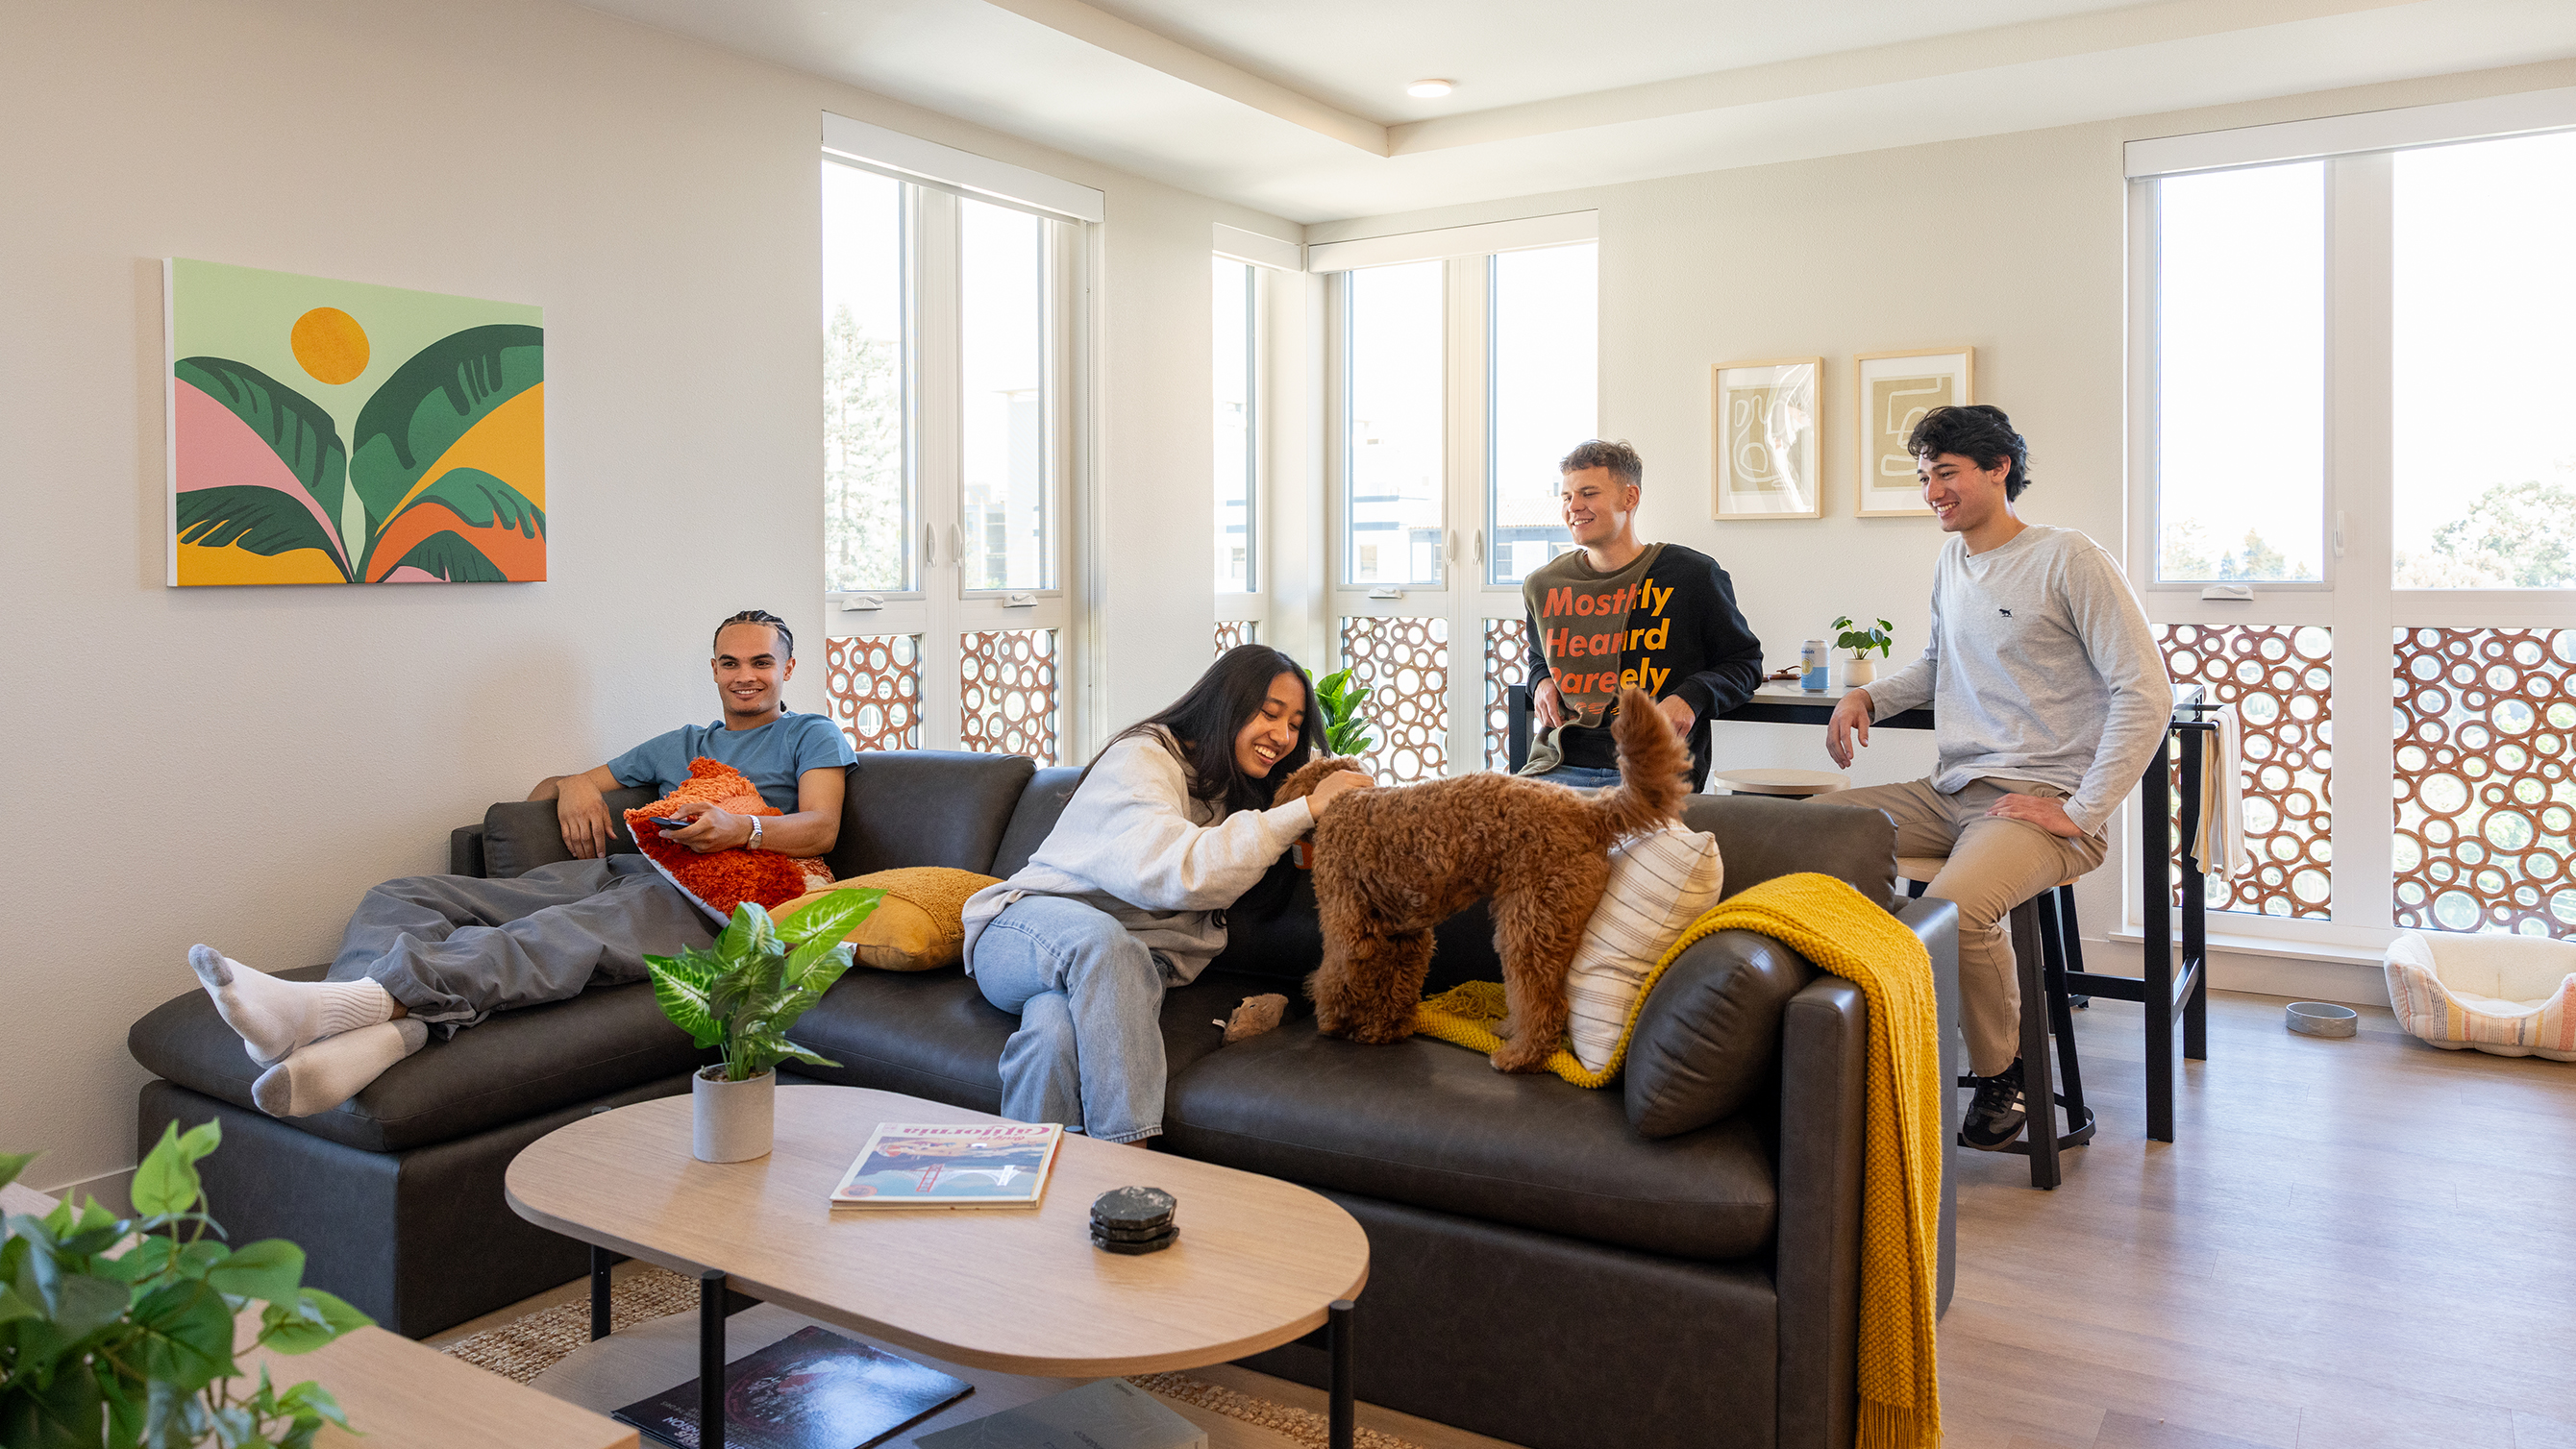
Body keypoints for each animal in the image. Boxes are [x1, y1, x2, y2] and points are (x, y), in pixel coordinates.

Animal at [1272, 684, 1690, 1070]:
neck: (1341, 801)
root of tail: (1588, 812)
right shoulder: (1407, 936)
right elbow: (1397, 986)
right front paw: (1383, 1030)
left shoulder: (1349, 928)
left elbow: (1334, 976)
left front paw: (1333, 1022)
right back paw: (1510, 1032)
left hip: (1531, 923)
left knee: (1544, 1003)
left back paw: (1520, 1055)